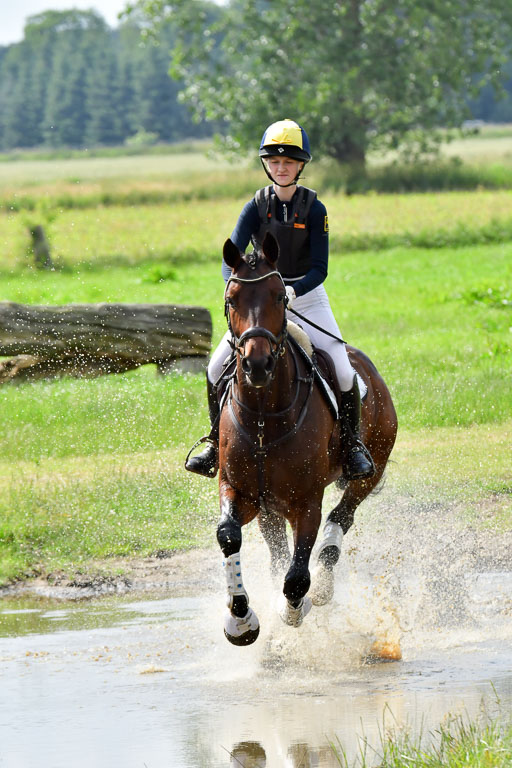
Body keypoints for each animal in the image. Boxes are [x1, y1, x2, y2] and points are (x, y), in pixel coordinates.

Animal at [216, 233, 397, 645]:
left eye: (278, 297)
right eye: (232, 298)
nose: (257, 364)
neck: (264, 416)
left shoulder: (306, 502)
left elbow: (298, 577)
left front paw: (293, 610)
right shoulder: (238, 490)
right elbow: (229, 536)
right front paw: (241, 620)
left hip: (371, 468)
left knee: (341, 518)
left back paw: (326, 582)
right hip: (269, 505)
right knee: (277, 549)